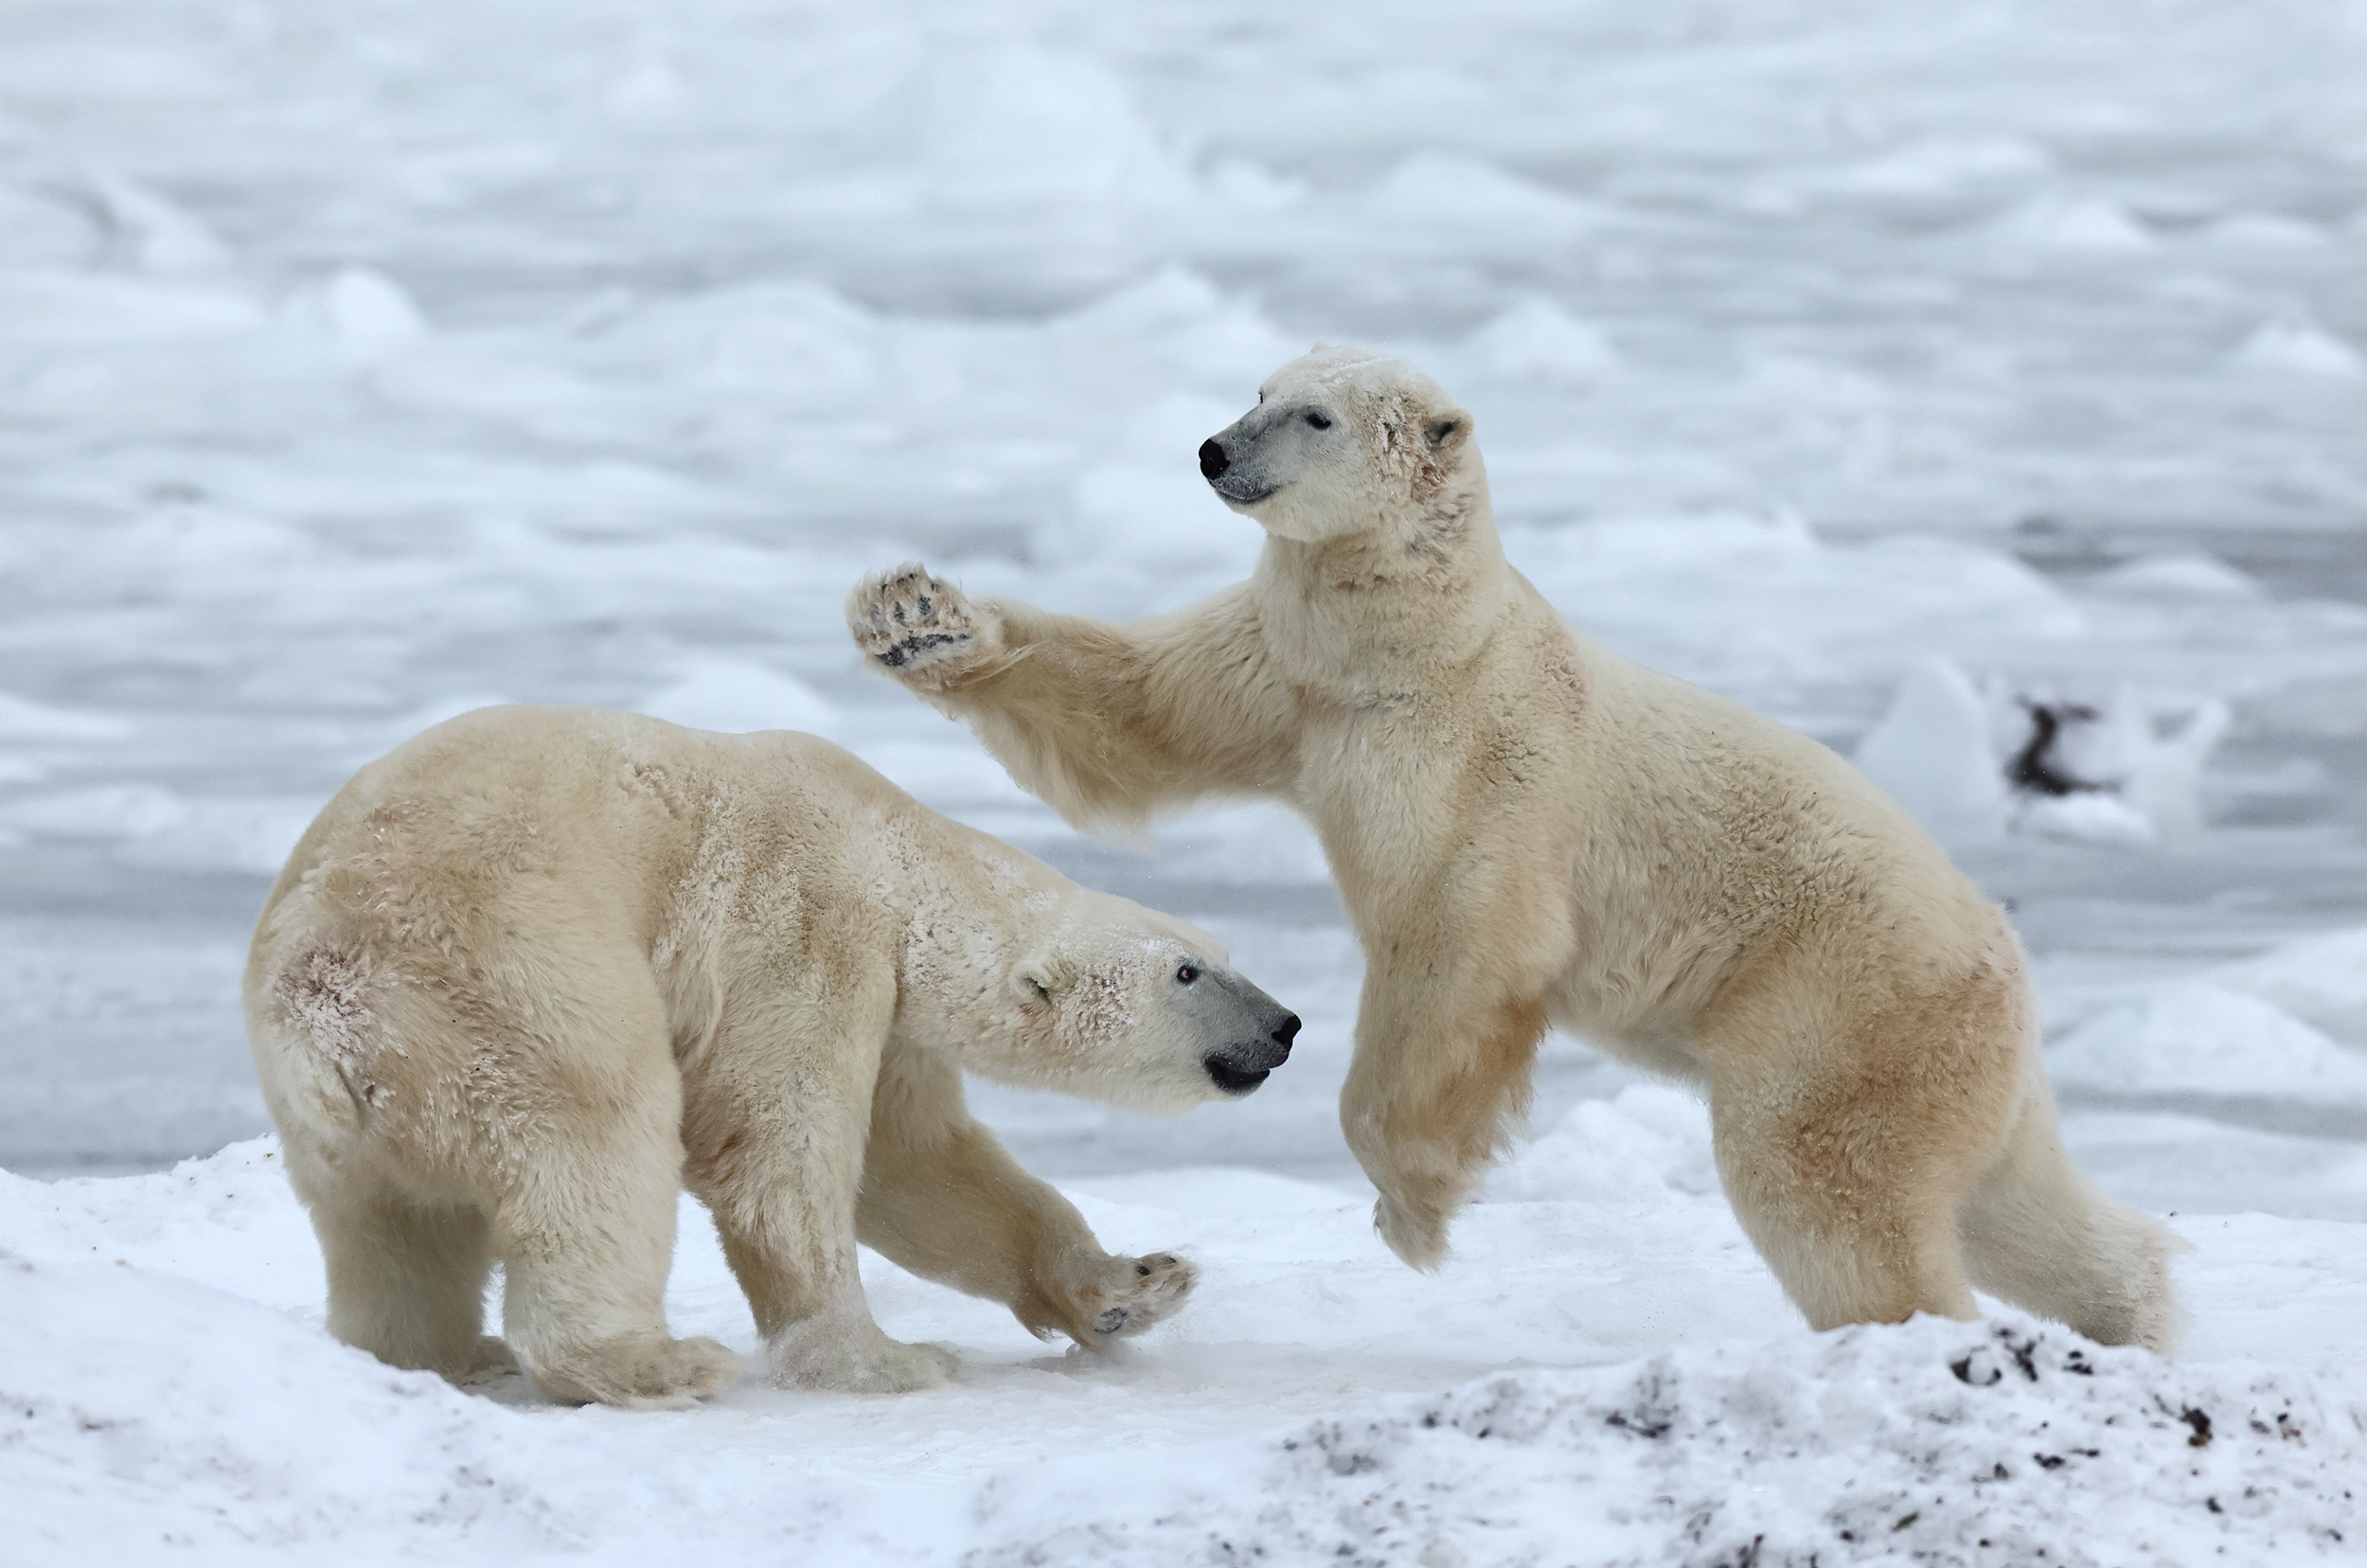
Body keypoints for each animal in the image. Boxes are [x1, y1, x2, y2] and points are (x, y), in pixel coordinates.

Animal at [249, 705, 1307, 1401]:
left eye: (1220, 955)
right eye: (1187, 973)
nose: (1285, 1027)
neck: (893, 854)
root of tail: (323, 1015)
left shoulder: (889, 1012)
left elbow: (920, 1167)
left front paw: (1133, 1289)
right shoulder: (798, 928)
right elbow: (774, 1149)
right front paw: (889, 1361)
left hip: (353, 1112)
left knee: (392, 1236)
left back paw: (442, 1357)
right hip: (506, 988)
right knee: (597, 1144)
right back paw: (649, 1361)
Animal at [847, 350, 2178, 1354]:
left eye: (1315, 414)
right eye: (1256, 386)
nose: (1215, 450)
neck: (1422, 648)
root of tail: (1999, 952)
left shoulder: (1482, 761)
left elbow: (1459, 940)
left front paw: (1413, 1211)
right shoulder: (1283, 676)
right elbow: (1136, 712)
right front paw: (914, 619)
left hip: (1835, 999)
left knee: (1828, 1183)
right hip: (1943, 1053)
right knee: (2011, 1199)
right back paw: (2139, 1312)